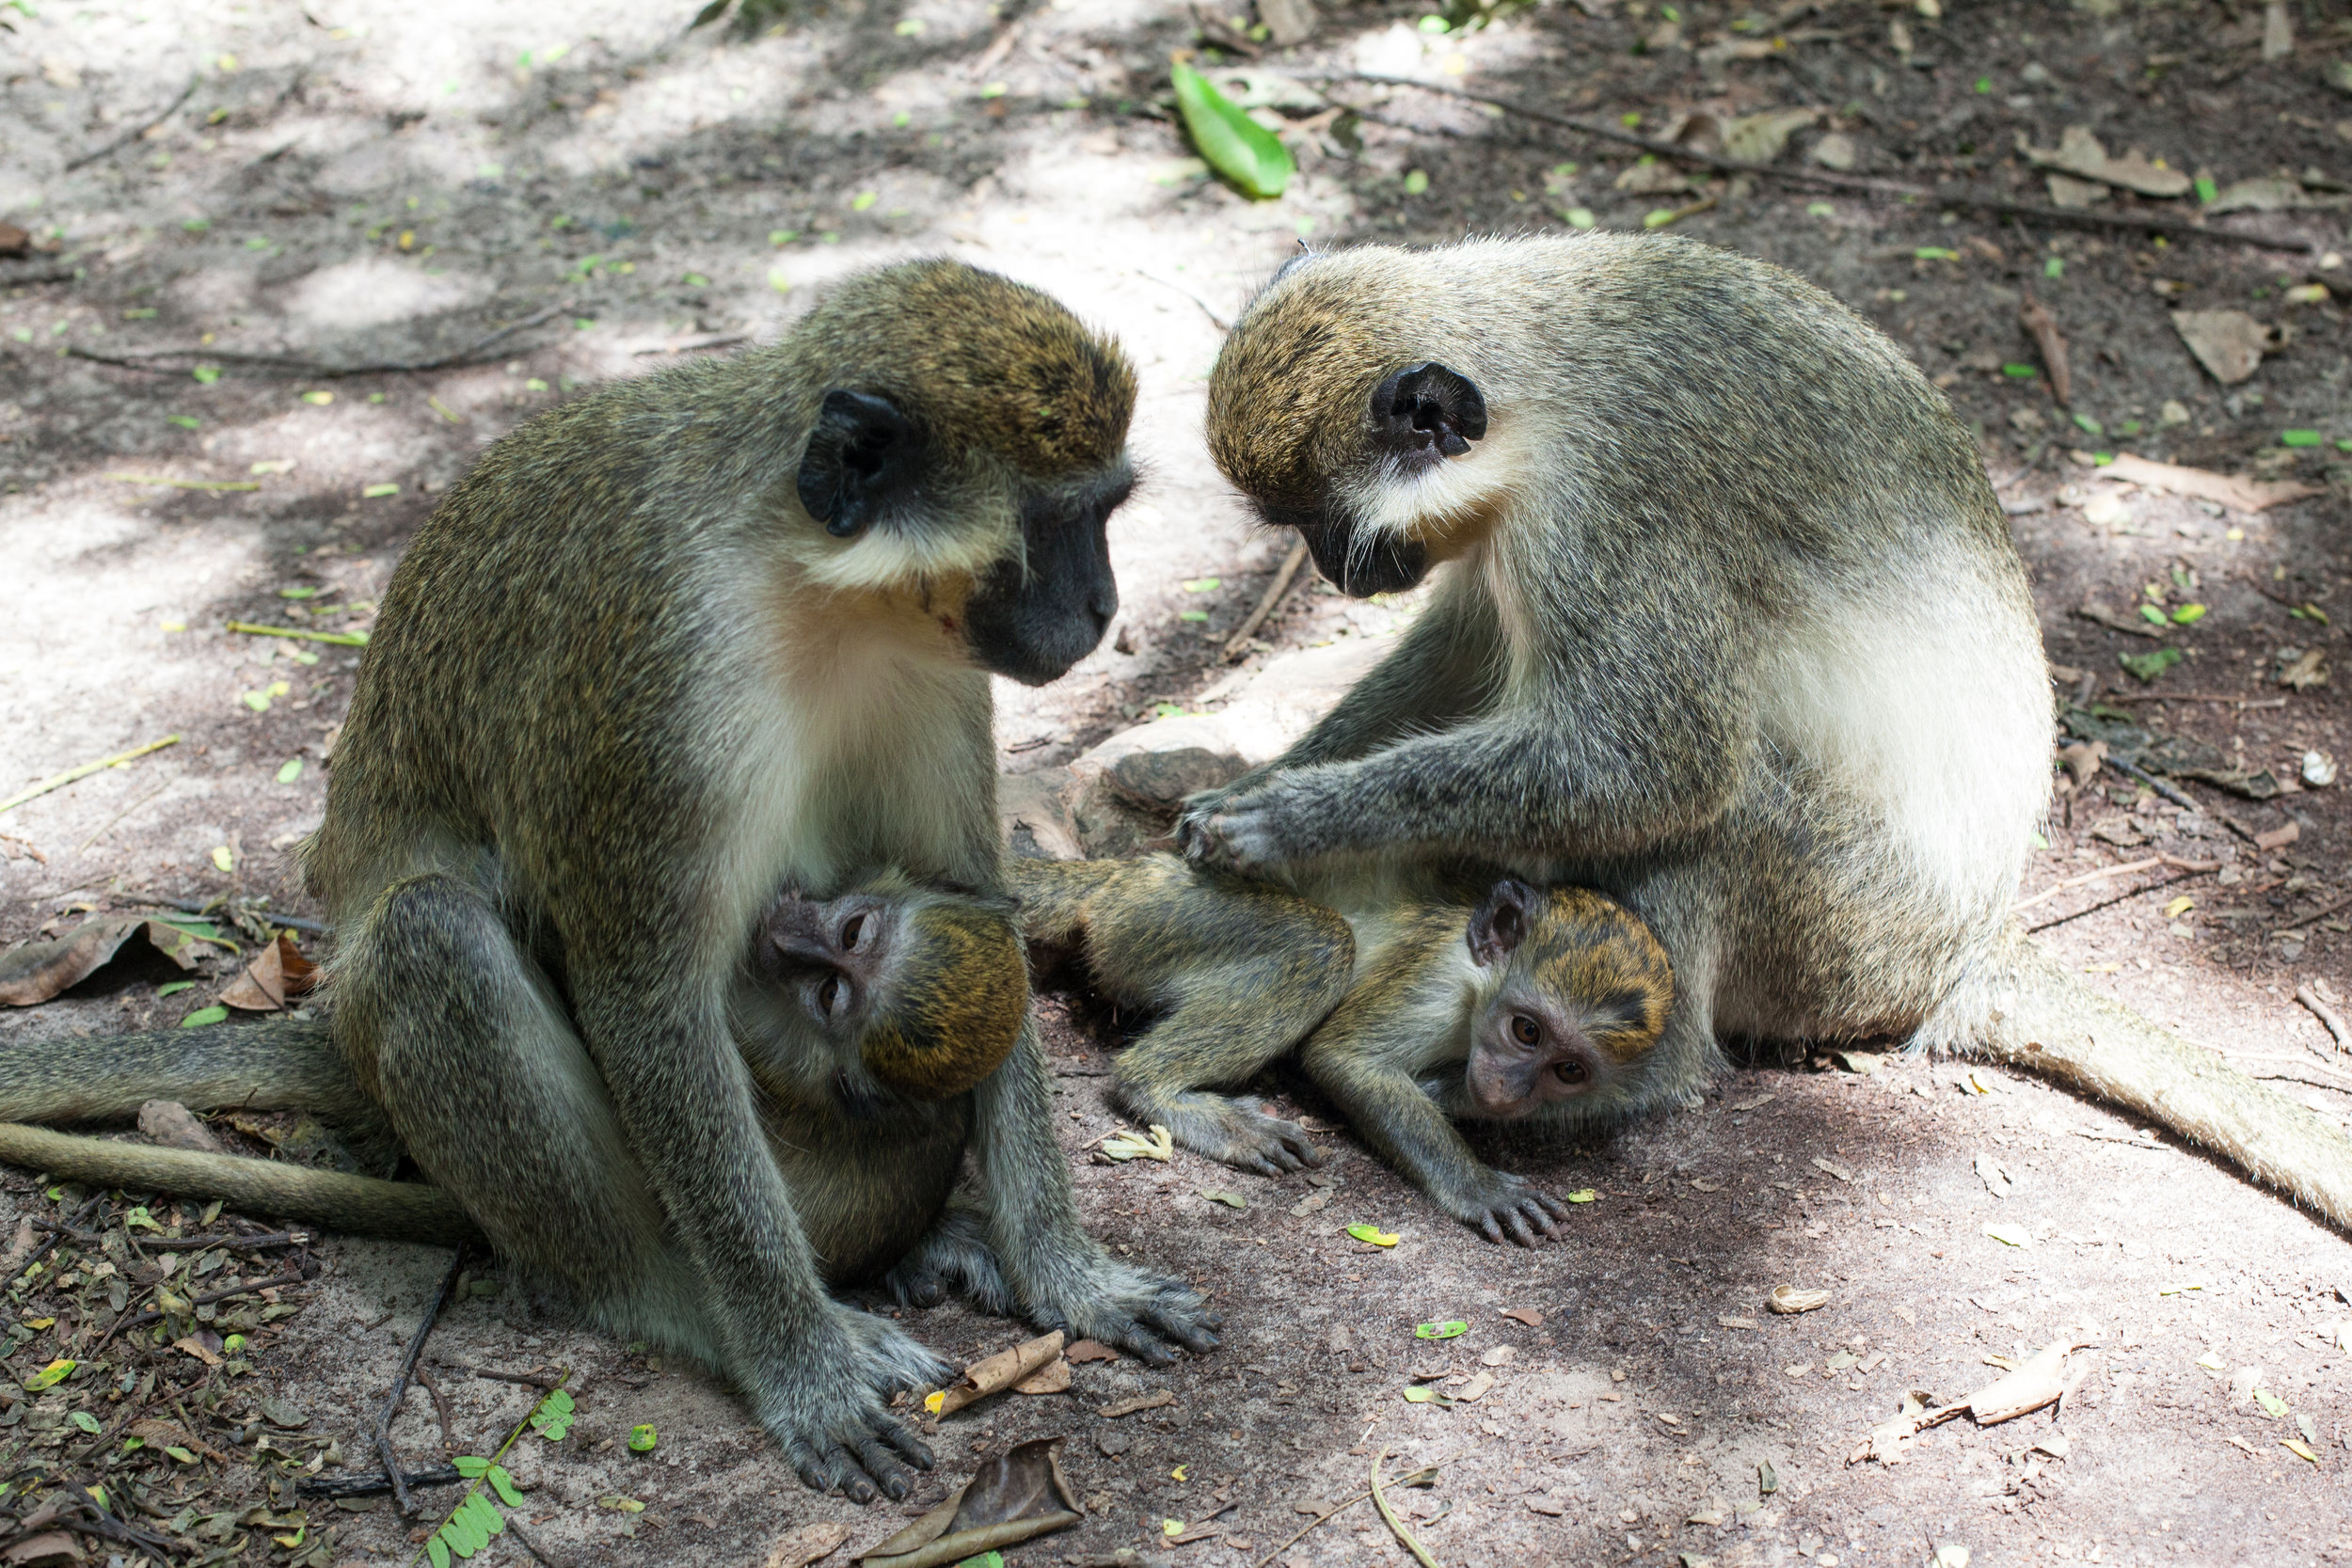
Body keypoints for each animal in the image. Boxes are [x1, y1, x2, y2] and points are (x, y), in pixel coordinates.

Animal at [0, 262, 1214, 1504]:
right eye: (1061, 523)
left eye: (1104, 514)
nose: (1102, 608)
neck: (805, 583)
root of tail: (337, 1038)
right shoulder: (653, 676)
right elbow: (648, 1002)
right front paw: (803, 1367)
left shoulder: (934, 671)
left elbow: (976, 900)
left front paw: (1069, 1274)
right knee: (438, 936)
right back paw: (673, 1299)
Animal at [1007, 850, 1675, 1241]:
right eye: (1526, 1030)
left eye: (1569, 1070)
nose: (1511, 1092)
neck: (1476, 987)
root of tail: (1128, 870)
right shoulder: (1433, 981)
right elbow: (1343, 1058)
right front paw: (1479, 1185)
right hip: (1165, 915)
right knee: (1322, 943)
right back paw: (1162, 1090)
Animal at [1185, 232, 2352, 1231]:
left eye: (1326, 524)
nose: (1336, 574)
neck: (1539, 376)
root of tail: (1966, 946)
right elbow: (1464, 649)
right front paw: (1264, 782)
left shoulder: (1608, 515)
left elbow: (1657, 767)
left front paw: (1289, 820)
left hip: (1843, 931)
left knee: (1717, 814)